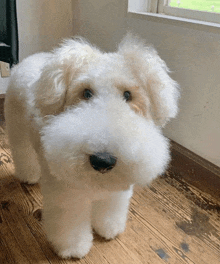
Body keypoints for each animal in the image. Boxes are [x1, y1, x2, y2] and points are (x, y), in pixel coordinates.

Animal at [4, 34, 179, 258]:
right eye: (86, 93)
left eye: (128, 95)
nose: (102, 160)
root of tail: (30, 59)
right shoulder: (68, 195)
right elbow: (70, 224)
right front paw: (73, 248)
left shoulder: (116, 190)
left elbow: (110, 208)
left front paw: (108, 228)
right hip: (17, 129)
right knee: (23, 153)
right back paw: (29, 175)